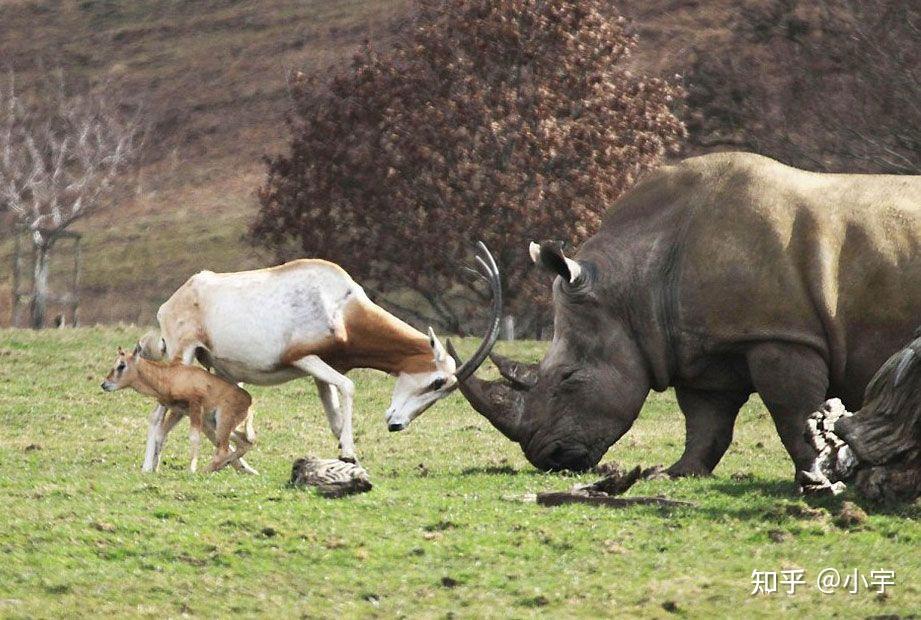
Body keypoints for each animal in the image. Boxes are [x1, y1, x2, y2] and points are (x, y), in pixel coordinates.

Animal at [101, 344, 255, 474]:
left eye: (121, 365)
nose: (104, 384)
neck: (170, 376)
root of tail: (249, 402)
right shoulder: (179, 411)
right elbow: (160, 435)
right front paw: (154, 468)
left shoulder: (195, 406)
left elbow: (194, 436)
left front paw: (191, 470)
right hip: (216, 423)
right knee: (245, 441)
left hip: (222, 421)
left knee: (224, 449)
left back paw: (203, 471)